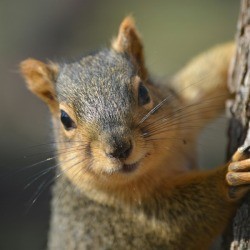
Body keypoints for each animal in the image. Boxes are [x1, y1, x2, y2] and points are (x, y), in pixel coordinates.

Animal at [19, 16, 250, 249]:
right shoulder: (129, 225)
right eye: (64, 119)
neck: (162, 163)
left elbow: (210, 70)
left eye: (144, 92)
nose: (119, 148)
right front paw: (229, 175)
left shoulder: (183, 104)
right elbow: (185, 221)